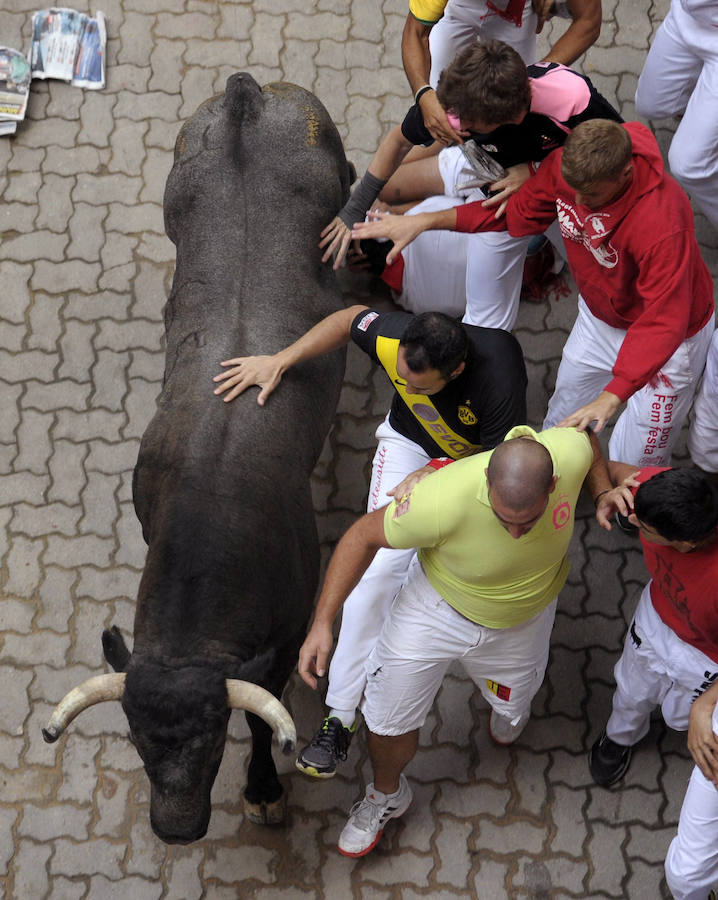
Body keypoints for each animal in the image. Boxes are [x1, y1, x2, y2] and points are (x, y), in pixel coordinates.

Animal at [42, 75, 354, 844]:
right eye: (134, 739)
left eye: (213, 743)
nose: (177, 829)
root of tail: (248, 95)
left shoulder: (283, 640)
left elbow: (262, 714)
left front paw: (265, 790)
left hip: (333, 165)